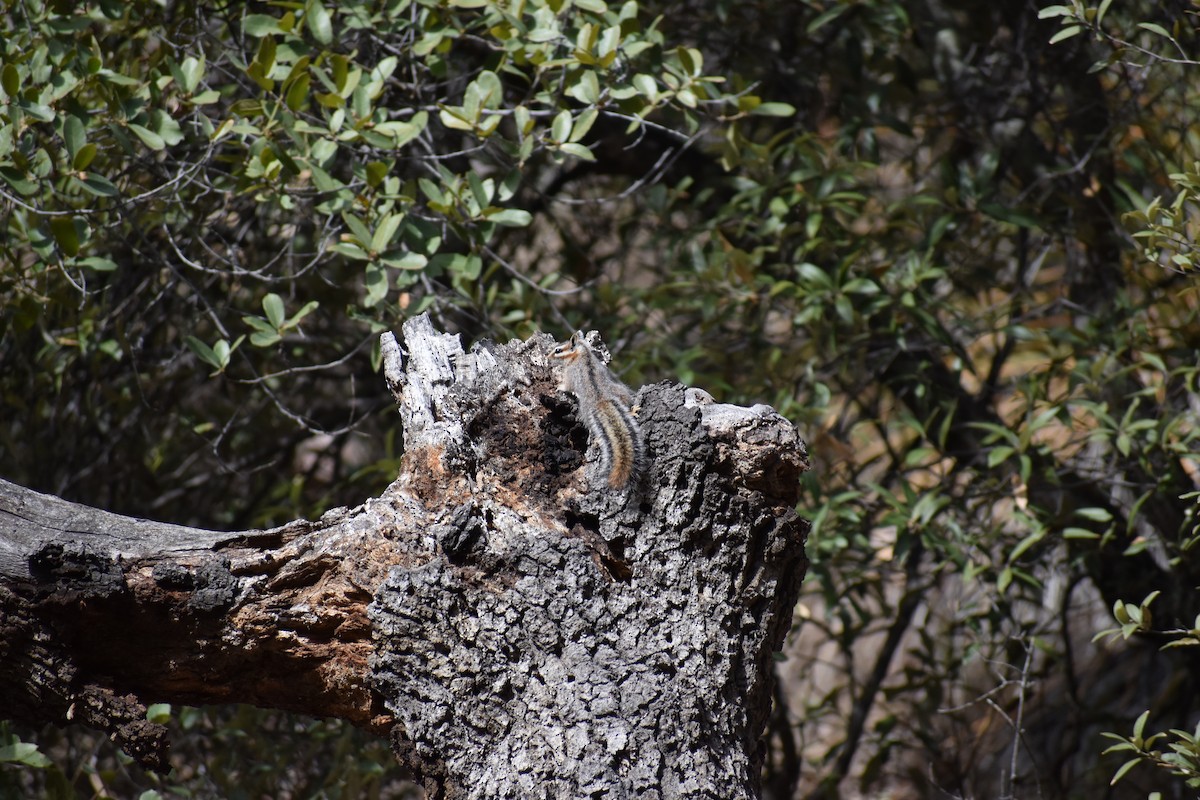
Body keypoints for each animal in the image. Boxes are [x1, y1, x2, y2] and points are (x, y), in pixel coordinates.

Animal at [551, 331, 643, 489]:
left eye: (558, 350)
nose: (547, 356)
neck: (582, 352)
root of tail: (600, 400)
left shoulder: (569, 373)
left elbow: (567, 385)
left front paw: (559, 386)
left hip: (585, 414)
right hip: (621, 392)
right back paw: (632, 410)